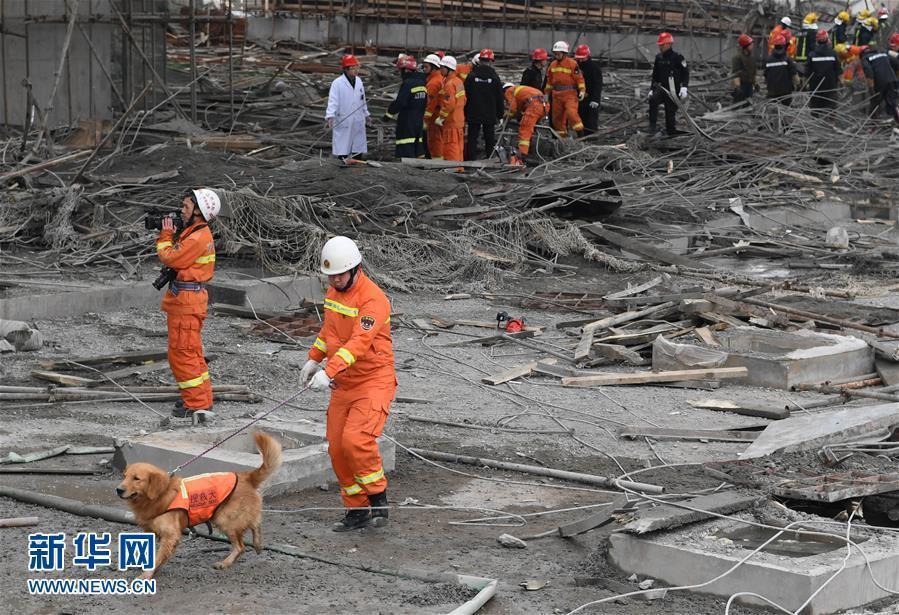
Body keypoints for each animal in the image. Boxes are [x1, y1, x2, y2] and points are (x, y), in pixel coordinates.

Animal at [117, 430, 282, 580]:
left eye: (136, 478)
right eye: (124, 476)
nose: (118, 489)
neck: (160, 495)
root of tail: (246, 476)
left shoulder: (170, 535)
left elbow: (157, 558)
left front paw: (146, 575)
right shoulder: (151, 531)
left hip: (224, 518)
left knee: (241, 545)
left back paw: (226, 562)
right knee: (255, 522)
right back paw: (258, 544)